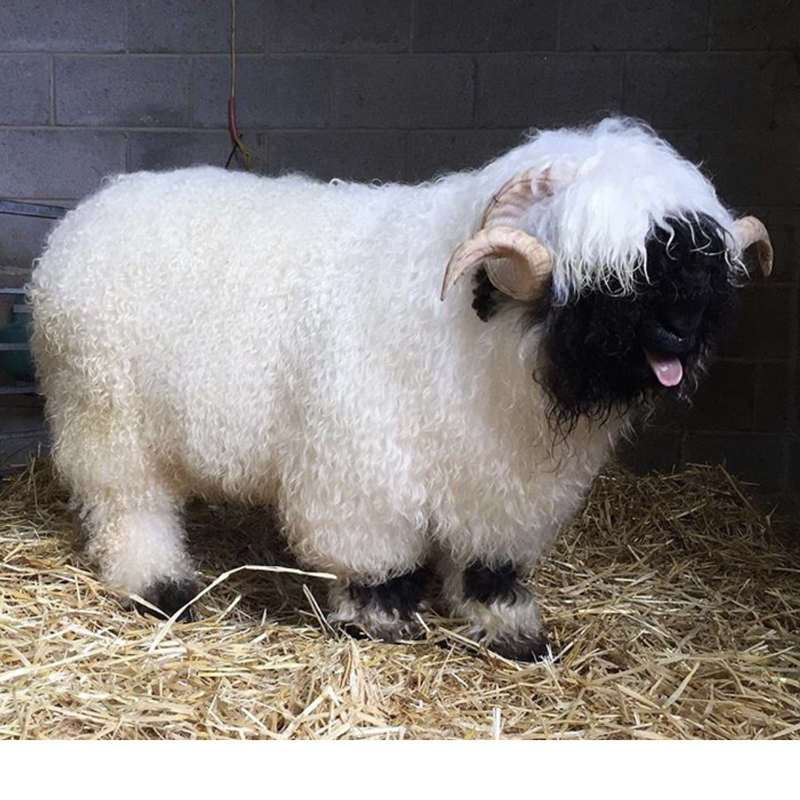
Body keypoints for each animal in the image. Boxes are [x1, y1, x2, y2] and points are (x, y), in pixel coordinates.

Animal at [29, 117, 771, 661]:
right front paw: (384, 619)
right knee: (128, 508)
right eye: (613, 276)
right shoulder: (361, 468)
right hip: (105, 415)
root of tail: (89, 210)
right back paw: (163, 586)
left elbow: (489, 566)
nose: (679, 334)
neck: (480, 343)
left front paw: (513, 633)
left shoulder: (503, 486)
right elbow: (374, 558)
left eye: (704, 265)